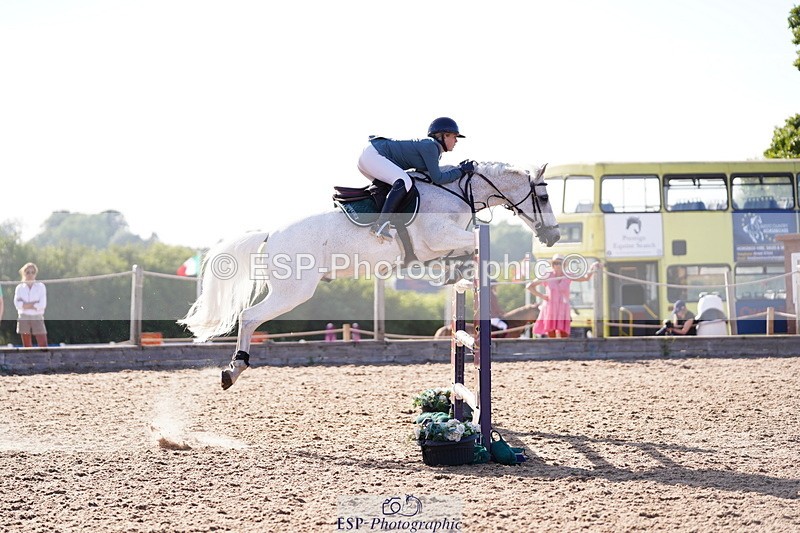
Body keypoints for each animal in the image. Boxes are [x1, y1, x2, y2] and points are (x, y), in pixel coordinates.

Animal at [179, 161, 560, 390]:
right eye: (543, 197)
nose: (554, 237)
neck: (456, 192)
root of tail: (271, 234)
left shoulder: (436, 248)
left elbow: (459, 257)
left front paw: (455, 273)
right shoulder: (438, 237)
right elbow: (474, 245)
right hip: (293, 291)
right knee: (249, 316)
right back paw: (233, 369)